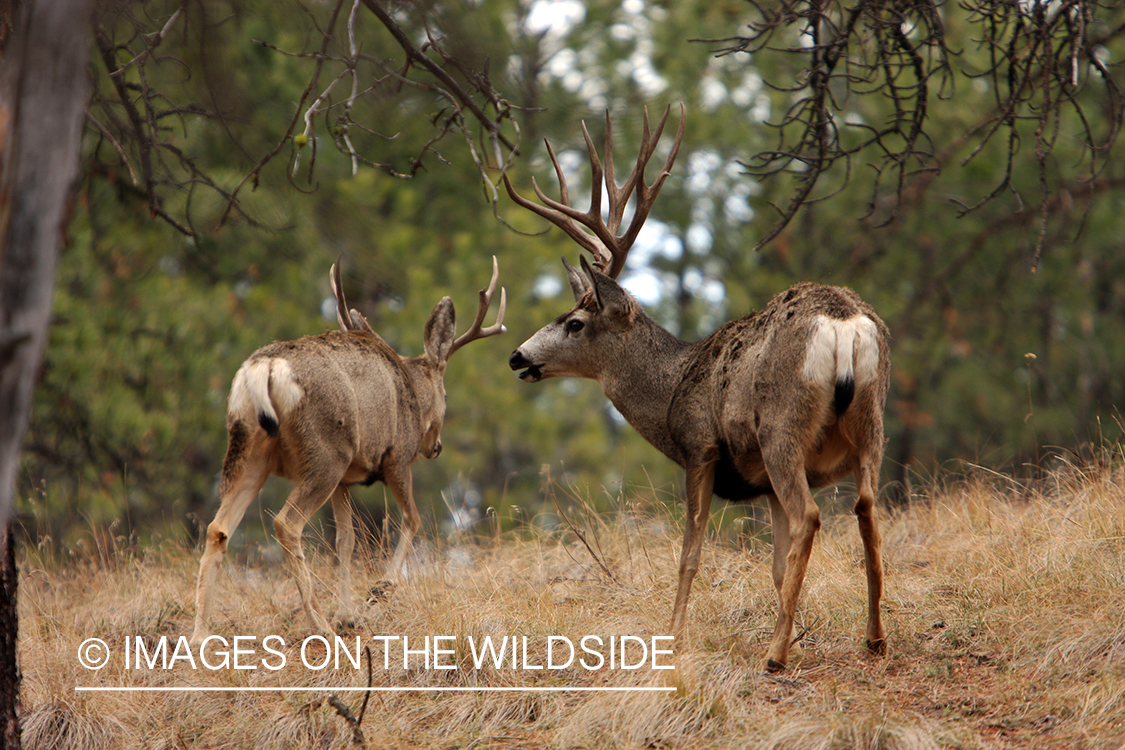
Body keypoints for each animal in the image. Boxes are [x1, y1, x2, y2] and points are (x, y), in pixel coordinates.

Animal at [191, 258, 506, 644]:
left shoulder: (346, 479)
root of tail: (264, 368)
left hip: (251, 449)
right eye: (446, 396)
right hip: (326, 451)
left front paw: (348, 616)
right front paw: (378, 591)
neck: (412, 391)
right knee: (286, 523)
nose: (436, 447)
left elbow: (346, 539)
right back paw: (320, 626)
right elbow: (412, 519)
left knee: (217, 528)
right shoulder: (396, 457)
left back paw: (200, 634)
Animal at [504, 104, 890, 672]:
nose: (518, 356)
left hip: (782, 428)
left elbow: (690, 554)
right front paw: (795, 629)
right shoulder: (762, 486)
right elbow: (776, 564)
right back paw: (874, 637)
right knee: (866, 509)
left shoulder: (698, 448)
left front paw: (675, 636)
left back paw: (775, 656)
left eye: (574, 323)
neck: (671, 385)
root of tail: (842, 322)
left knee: (812, 516)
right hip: (869, 423)